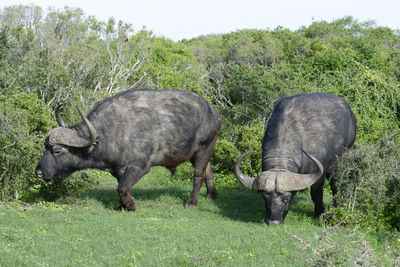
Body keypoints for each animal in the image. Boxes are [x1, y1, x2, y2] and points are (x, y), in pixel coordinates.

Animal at [35, 90, 220, 211]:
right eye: (45, 147)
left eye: (57, 151)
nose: (38, 172)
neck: (110, 133)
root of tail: (214, 113)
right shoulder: (118, 170)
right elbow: (120, 185)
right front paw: (122, 205)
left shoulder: (140, 167)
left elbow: (122, 187)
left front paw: (130, 205)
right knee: (208, 170)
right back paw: (212, 194)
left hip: (204, 148)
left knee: (198, 175)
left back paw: (191, 202)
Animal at [234, 93, 356, 225]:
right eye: (265, 198)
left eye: (286, 199)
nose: (273, 221)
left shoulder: (319, 171)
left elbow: (316, 194)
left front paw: (319, 214)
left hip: (342, 157)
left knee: (336, 183)